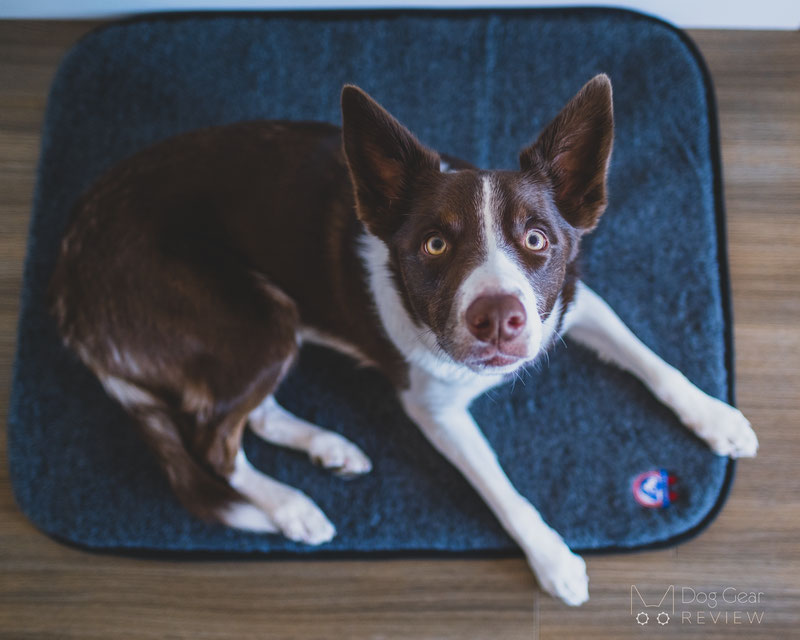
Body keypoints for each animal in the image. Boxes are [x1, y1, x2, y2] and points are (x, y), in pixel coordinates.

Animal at [48, 76, 756, 604]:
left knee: (247, 415)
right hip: (257, 320)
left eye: (537, 239)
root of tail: (70, 281)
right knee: (212, 441)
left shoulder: (570, 303)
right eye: (435, 245)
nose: (499, 319)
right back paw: (291, 506)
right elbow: (503, 490)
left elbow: (651, 359)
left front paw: (717, 417)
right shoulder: (434, 411)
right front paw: (553, 559)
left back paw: (328, 447)